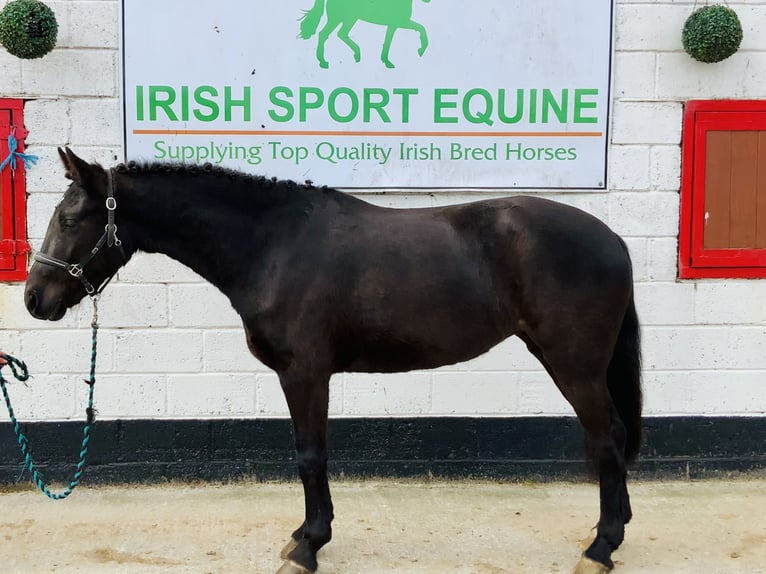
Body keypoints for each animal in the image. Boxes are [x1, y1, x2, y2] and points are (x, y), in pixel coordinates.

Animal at [25, 148, 640, 574]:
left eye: (71, 220)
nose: (34, 299)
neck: (271, 244)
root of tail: (613, 239)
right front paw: (303, 537)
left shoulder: (304, 372)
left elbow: (310, 455)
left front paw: (308, 546)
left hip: (574, 366)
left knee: (607, 438)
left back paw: (601, 547)